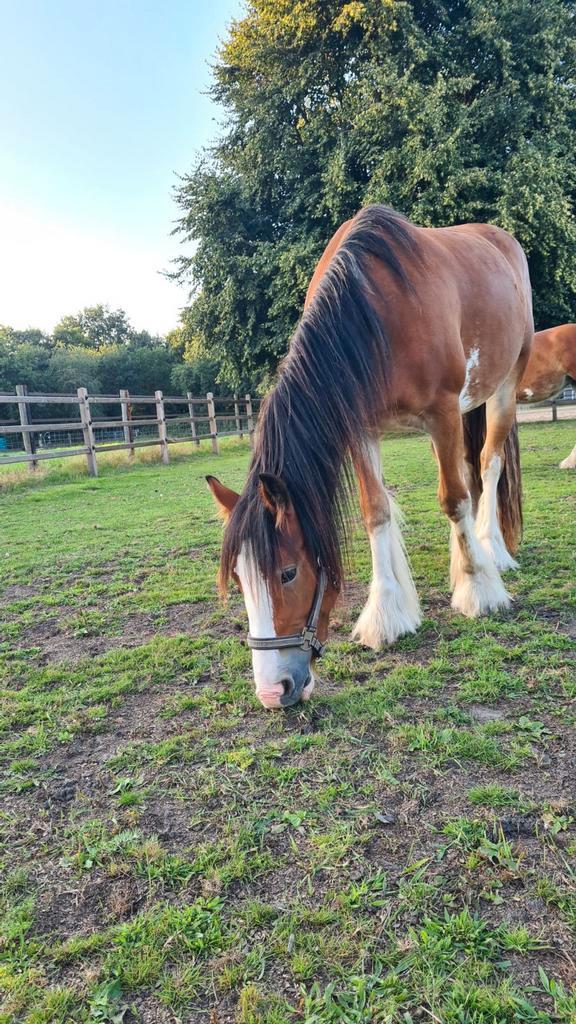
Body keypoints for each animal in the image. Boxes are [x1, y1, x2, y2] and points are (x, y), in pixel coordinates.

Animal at [207, 205, 533, 709]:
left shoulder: (442, 412)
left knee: (488, 466)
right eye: (240, 581)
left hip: (503, 387)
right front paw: (387, 614)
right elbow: (375, 511)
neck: (375, 310)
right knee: (471, 473)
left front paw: (479, 593)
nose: (272, 691)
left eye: (287, 572)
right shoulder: (362, 428)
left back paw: (491, 552)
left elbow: (453, 500)